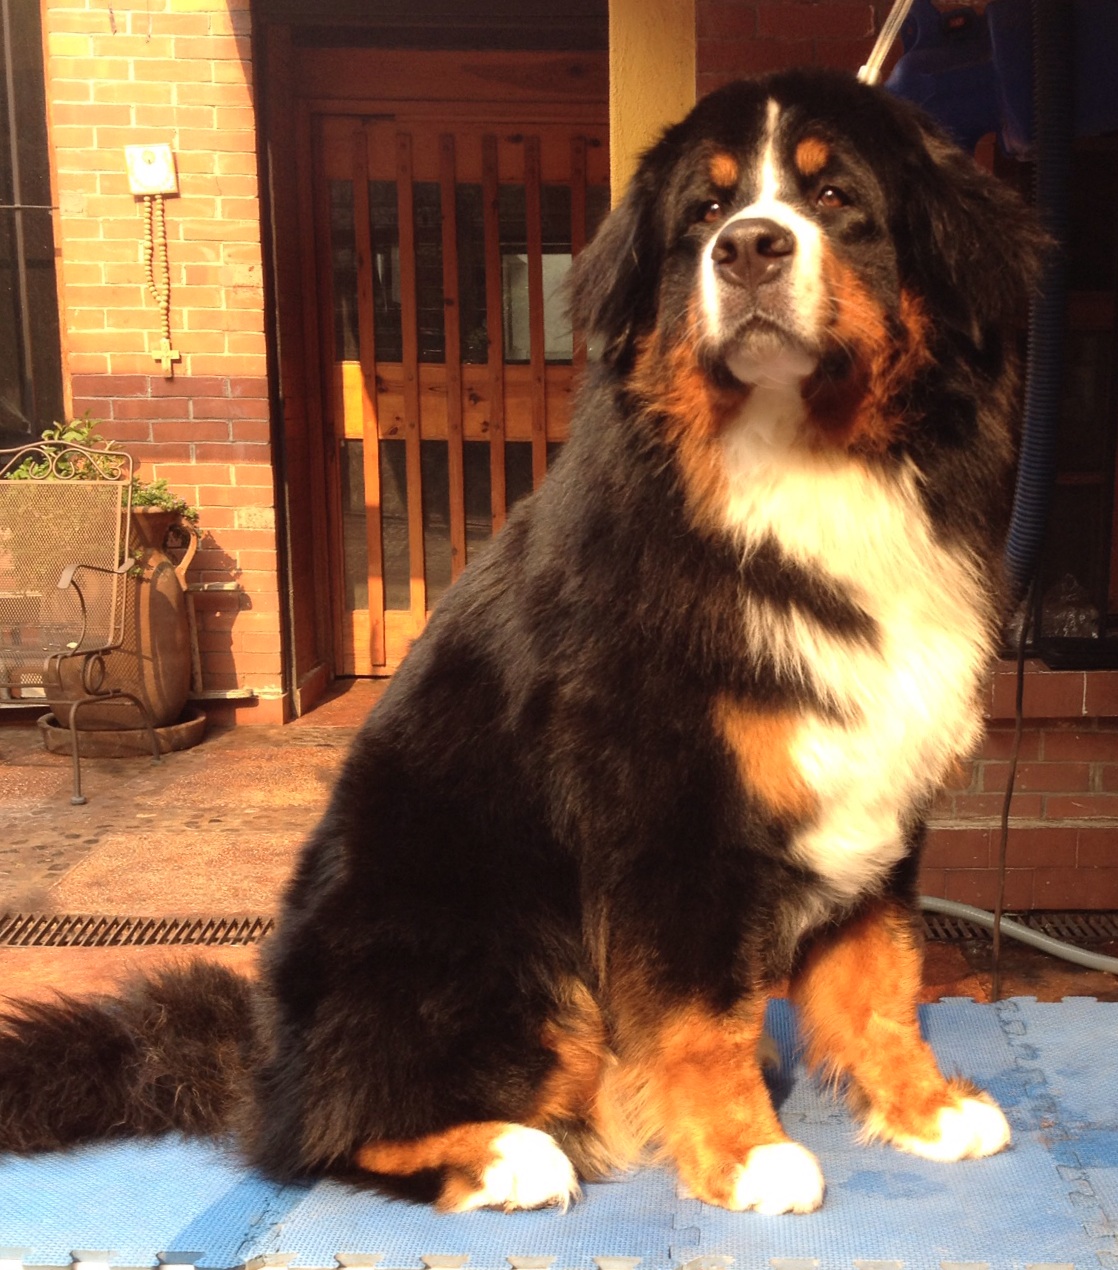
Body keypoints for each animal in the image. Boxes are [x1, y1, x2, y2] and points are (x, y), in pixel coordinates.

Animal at [0, 69, 1044, 1217]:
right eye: (707, 212)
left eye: (835, 197)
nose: (748, 249)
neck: (806, 473)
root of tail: (264, 1050)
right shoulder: (664, 816)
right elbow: (699, 1013)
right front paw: (745, 1154)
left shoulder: (881, 786)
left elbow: (879, 977)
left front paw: (924, 1108)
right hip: (492, 940)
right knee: (319, 1133)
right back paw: (510, 1151)